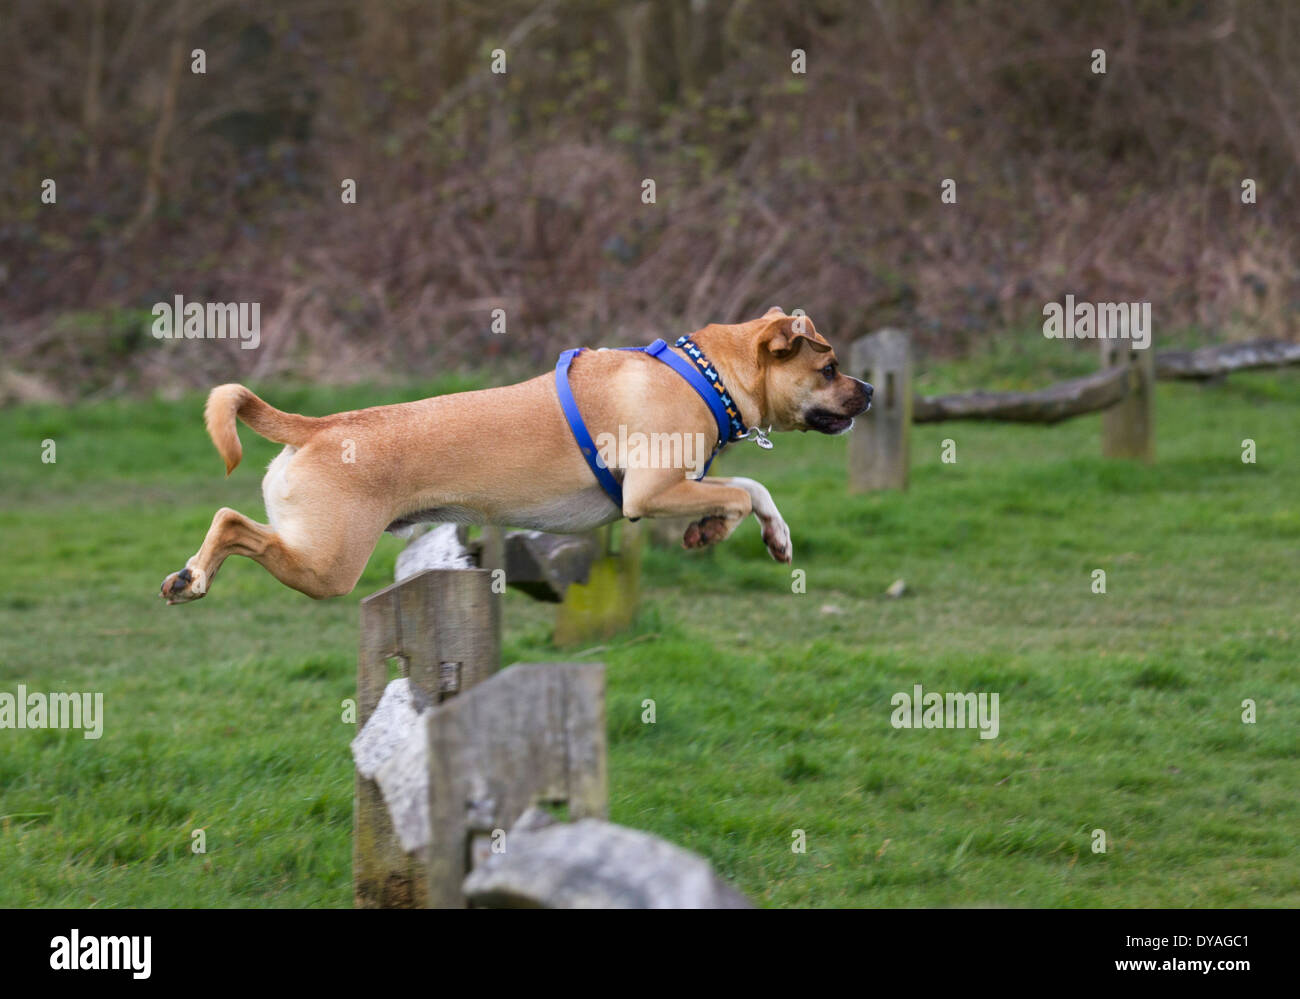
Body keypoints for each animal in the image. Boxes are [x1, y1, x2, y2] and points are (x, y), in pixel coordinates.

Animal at [159, 306, 873, 600]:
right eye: (830, 366)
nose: (868, 390)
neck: (705, 375)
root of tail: (319, 427)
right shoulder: (650, 492)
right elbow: (743, 491)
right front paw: (731, 528)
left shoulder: (676, 486)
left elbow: (746, 490)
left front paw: (745, 532)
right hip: (328, 563)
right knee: (230, 522)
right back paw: (192, 578)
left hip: (316, 549)